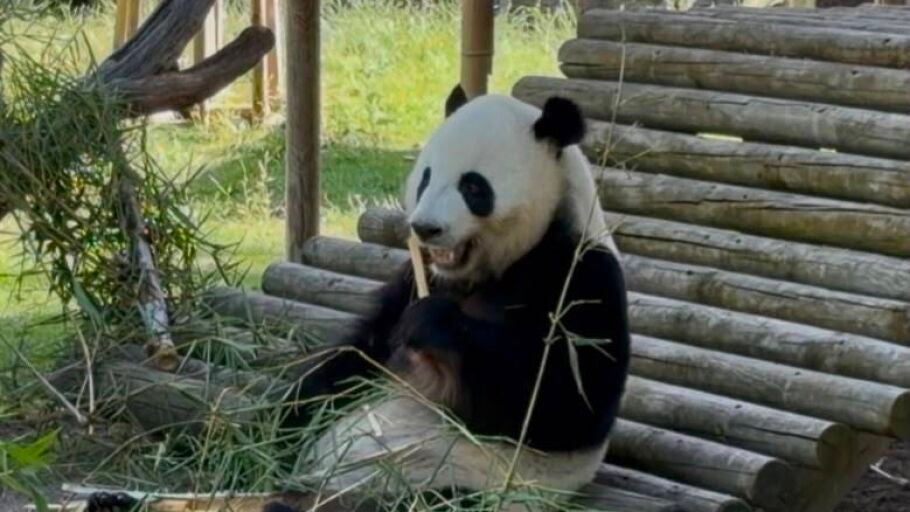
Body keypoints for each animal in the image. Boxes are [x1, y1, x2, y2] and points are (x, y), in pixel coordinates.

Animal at [86, 90, 629, 512]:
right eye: (426, 175)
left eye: (474, 186)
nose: (425, 228)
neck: (492, 269)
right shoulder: (409, 279)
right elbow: (354, 358)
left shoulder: (580, 277)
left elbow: (564, 403)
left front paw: (434, 326)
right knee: (251, 442)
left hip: (462, 482)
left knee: (423, 499)